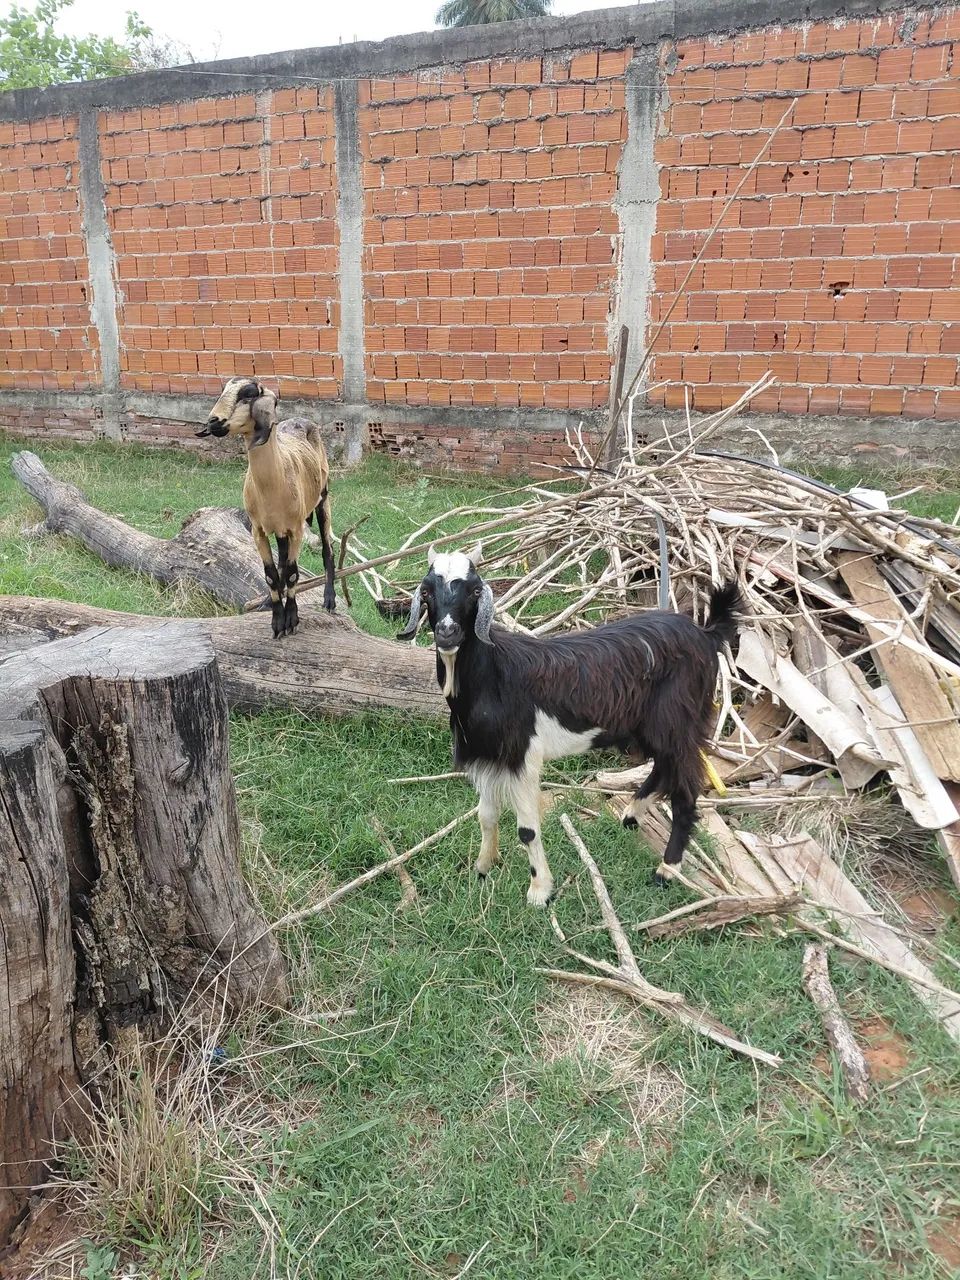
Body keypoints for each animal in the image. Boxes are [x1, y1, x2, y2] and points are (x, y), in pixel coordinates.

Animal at [196, 377, 335, 635]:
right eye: (224, 390)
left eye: (248, 395)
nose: (214, 422)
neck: (272, 485)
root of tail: (300, 419)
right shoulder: (258, 530)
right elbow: (271, 574)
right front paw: (277, 620)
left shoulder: (296, 529)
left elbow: (292, 574)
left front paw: (291, 619)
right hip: (280, 529)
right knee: (281, 560)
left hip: (323, 499)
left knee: (327, 548)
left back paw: (329, 600)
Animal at [397, 545, 741, 907]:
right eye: (426, 591)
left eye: (475, 591)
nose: (447, 633)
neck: (493, 674)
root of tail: (705, 634)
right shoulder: (486, 755)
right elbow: (486, 816)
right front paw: (483, 868)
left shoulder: (523, 757)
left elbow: (526, 830)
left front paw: (539, 891)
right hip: (650, 727)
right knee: (663, 767)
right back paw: (631, 815)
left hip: (678, 721)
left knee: (685, 789)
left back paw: (666, 869)